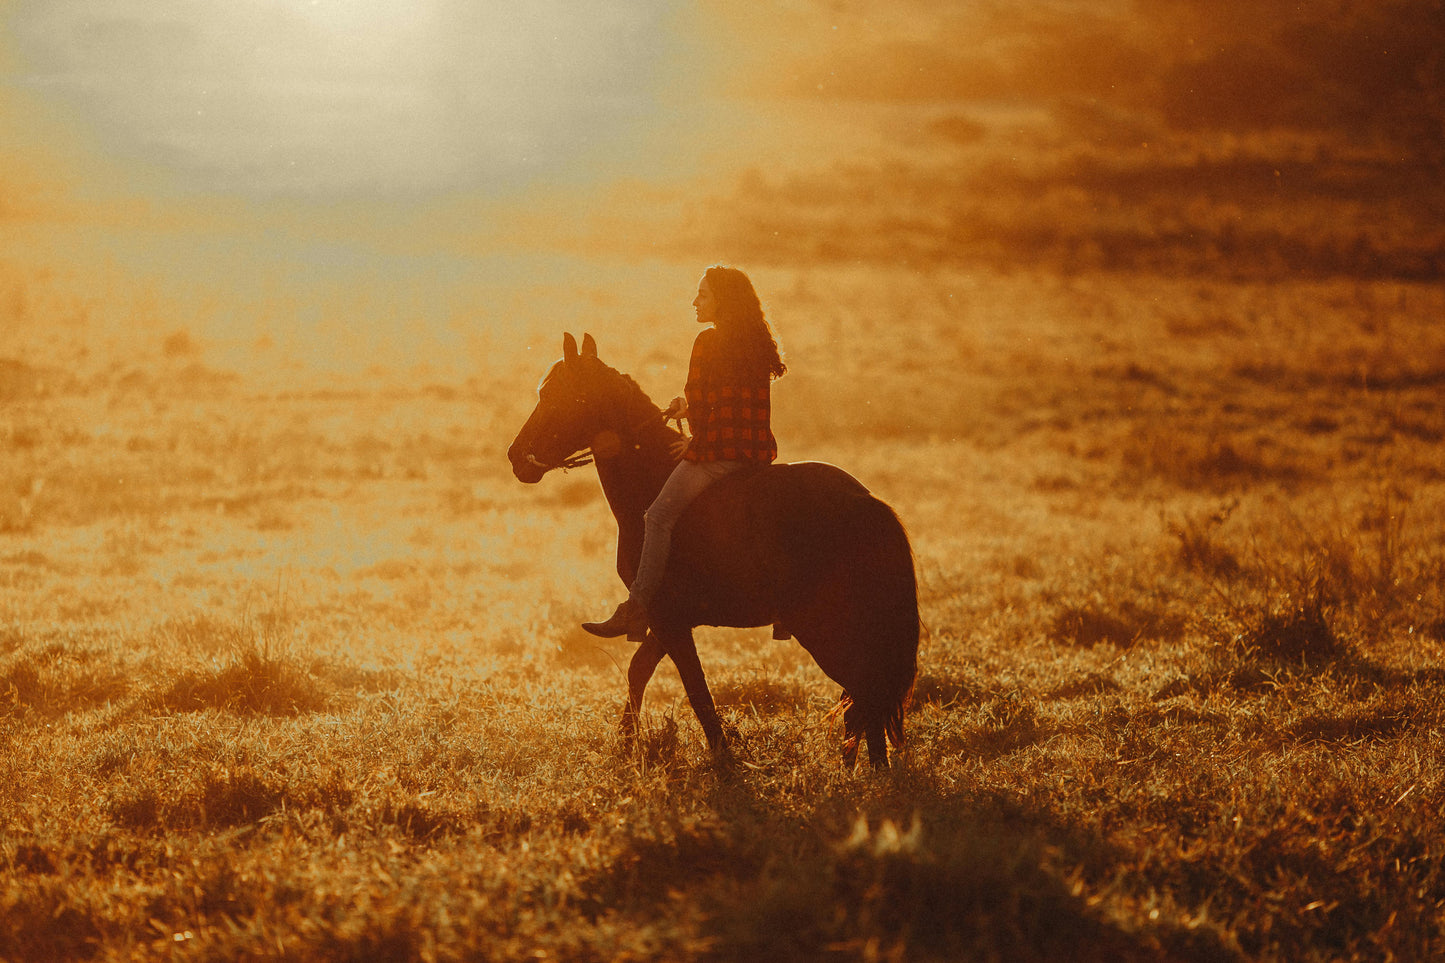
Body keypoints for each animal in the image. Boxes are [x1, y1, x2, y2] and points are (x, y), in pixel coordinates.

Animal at [507, 332, 919, 769]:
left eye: (553, 394)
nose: (515, 456)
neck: (651, 479)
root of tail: (865, 502)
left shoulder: (669, 619)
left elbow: (696, 689)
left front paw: (722, 758)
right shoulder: (671, 619)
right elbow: (640, 670)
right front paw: (626, 744)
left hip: (825, 628)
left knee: (865, 689)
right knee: (864, 695)